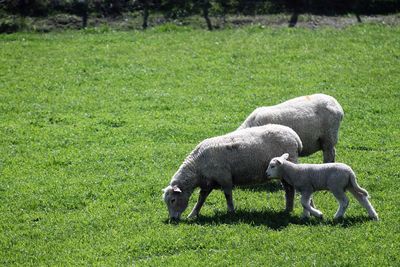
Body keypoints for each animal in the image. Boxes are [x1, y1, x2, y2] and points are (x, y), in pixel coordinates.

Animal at [162, 124, 304, 221]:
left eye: (173, 200)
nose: (172, 219)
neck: (197, 165)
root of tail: (295, 137)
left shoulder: (225, 178)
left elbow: (228, 196)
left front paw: (231, 212)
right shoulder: (207, 184)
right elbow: (200, 200)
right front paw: (192, 214)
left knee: (289, 189)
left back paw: (288, 210)